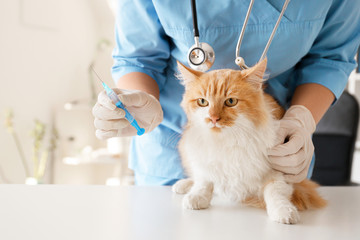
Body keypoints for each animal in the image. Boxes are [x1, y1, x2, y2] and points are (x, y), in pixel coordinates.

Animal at [173, 59, 328, 224]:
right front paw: (198, 196)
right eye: (202, 102)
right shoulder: (202, 157)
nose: (213, 118)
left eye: (231, 101)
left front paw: (283, 211)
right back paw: (184, 184)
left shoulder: (278, 169)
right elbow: (204, 181)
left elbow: (275, 192)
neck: (228, 139)